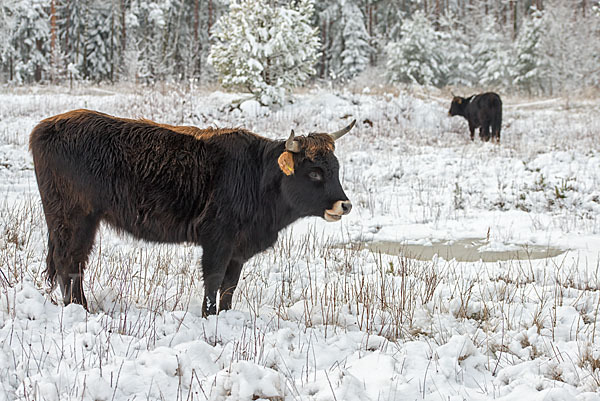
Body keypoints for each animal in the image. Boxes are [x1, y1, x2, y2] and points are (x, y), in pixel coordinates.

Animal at [28, 109, 354, 316]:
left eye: (335, 168)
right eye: (314, 172)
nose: (345, 205)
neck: (257, 175)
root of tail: (45, 126)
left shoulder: (237, 250)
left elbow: (229, 287)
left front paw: (224, 316)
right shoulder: (217, 241)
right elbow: (213, 281)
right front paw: (208, 317)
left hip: (84, 222)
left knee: (76, 263)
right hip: (72, 219)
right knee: (68, 262)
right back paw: (78, 309)